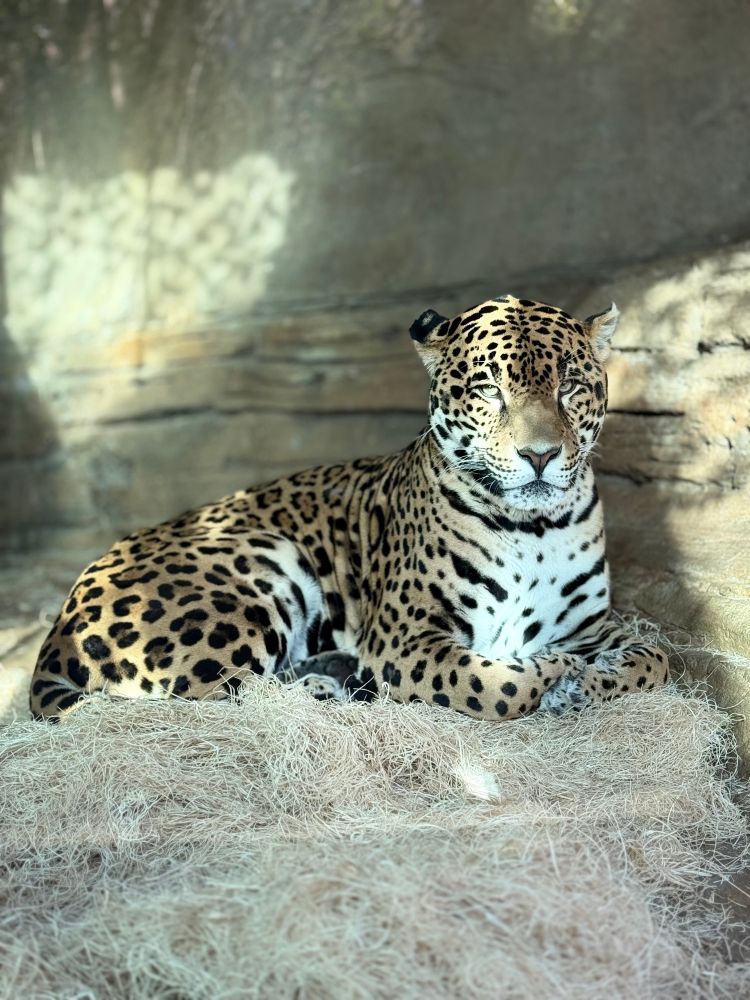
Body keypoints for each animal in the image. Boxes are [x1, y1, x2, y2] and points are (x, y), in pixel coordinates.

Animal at [30, 294, 669, 722]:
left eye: (570, 387)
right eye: (489, 390)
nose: (540, 455)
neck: (532, 527)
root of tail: (55, 634)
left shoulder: (592, 626)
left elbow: (656, 656)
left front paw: (590, 679)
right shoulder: (405, 640)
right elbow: (497, 688)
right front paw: (555, 674)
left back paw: (332, 675)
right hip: (256, 561)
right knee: (202, 705)